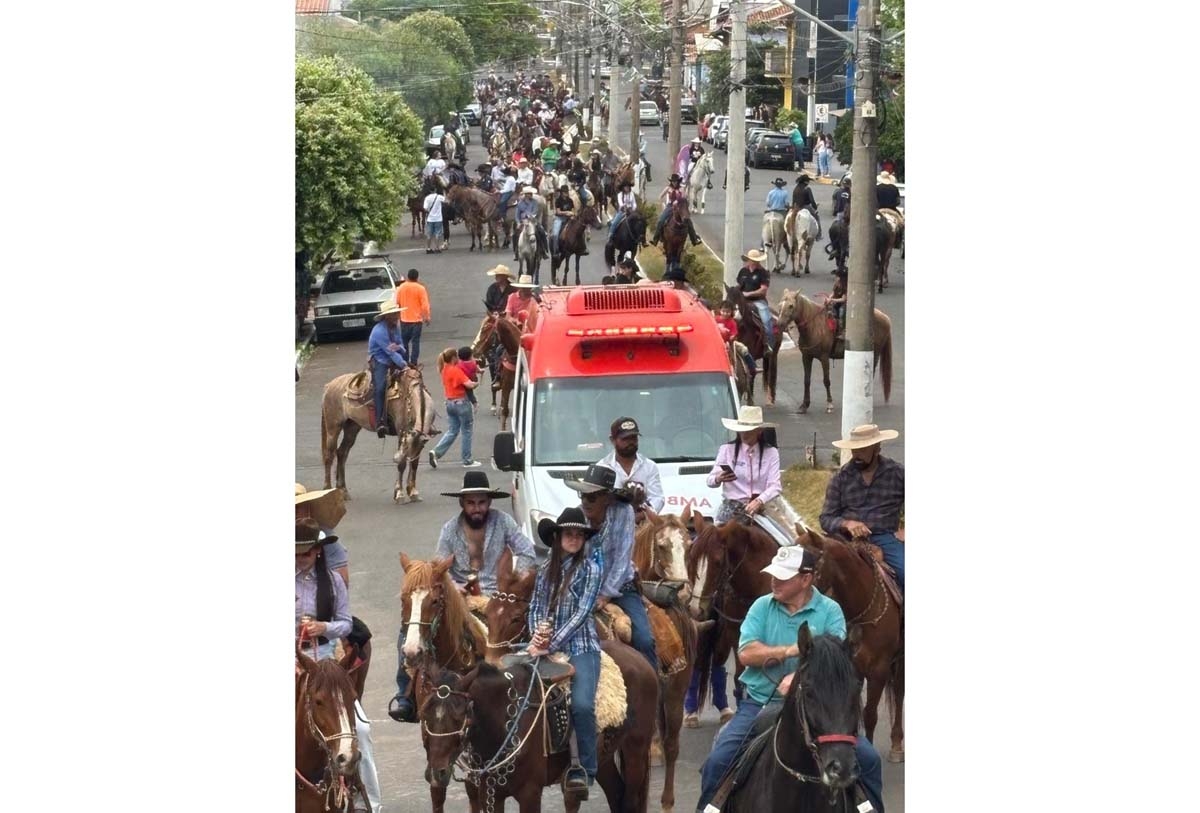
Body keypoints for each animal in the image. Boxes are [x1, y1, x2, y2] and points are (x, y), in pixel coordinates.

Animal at [320, 367, 437, 502]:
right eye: (405, 445)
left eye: (409, 446)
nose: (395, 458)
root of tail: (329, 385)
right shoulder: (401, 432)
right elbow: (402, 464)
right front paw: (399, 494)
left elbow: (414, 463)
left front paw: (413, 492)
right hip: (333, 428)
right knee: (329, 456)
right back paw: (327, 489)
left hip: (352, 427)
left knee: (342, 453)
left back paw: (343, 490)